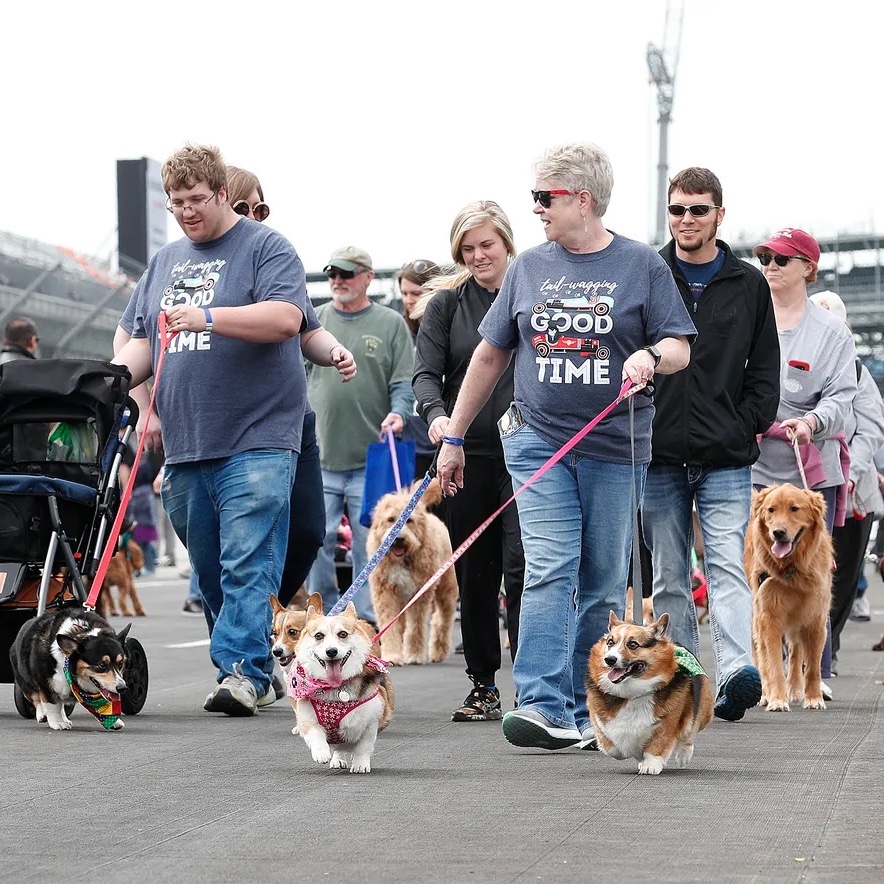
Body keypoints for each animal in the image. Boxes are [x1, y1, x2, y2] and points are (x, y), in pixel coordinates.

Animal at [368, 480, 460, 668]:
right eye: (390, 520)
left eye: (409, 520)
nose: (398, 539)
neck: (402, 559)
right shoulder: (385, 594)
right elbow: (391, 627)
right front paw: (392, 655)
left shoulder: (419, 594)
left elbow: (416, 627)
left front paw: (414, 655)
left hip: (446, 589)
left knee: (442, 620)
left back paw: (438, 651)